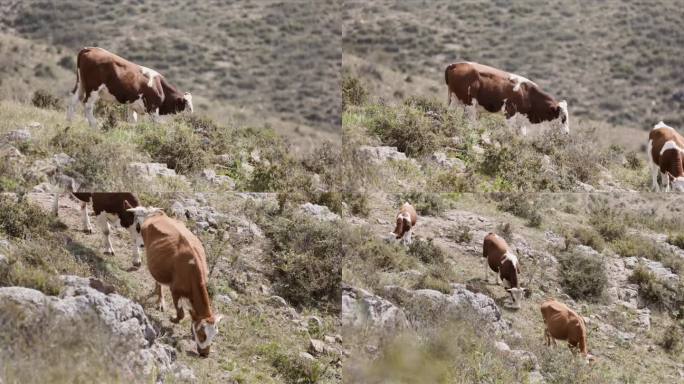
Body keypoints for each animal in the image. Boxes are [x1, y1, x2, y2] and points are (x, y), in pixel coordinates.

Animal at [65, 46, 194, 127]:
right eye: (187, 103)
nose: (192, 112)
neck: (160, 86)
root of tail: (89, 49)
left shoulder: (133, 106)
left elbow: (133, 121)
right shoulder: (153, 109)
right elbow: (156, 125)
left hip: (80, 84)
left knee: (73, 100)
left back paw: (69, 123)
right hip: (93, 88)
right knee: (87, 105)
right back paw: (94, 125)